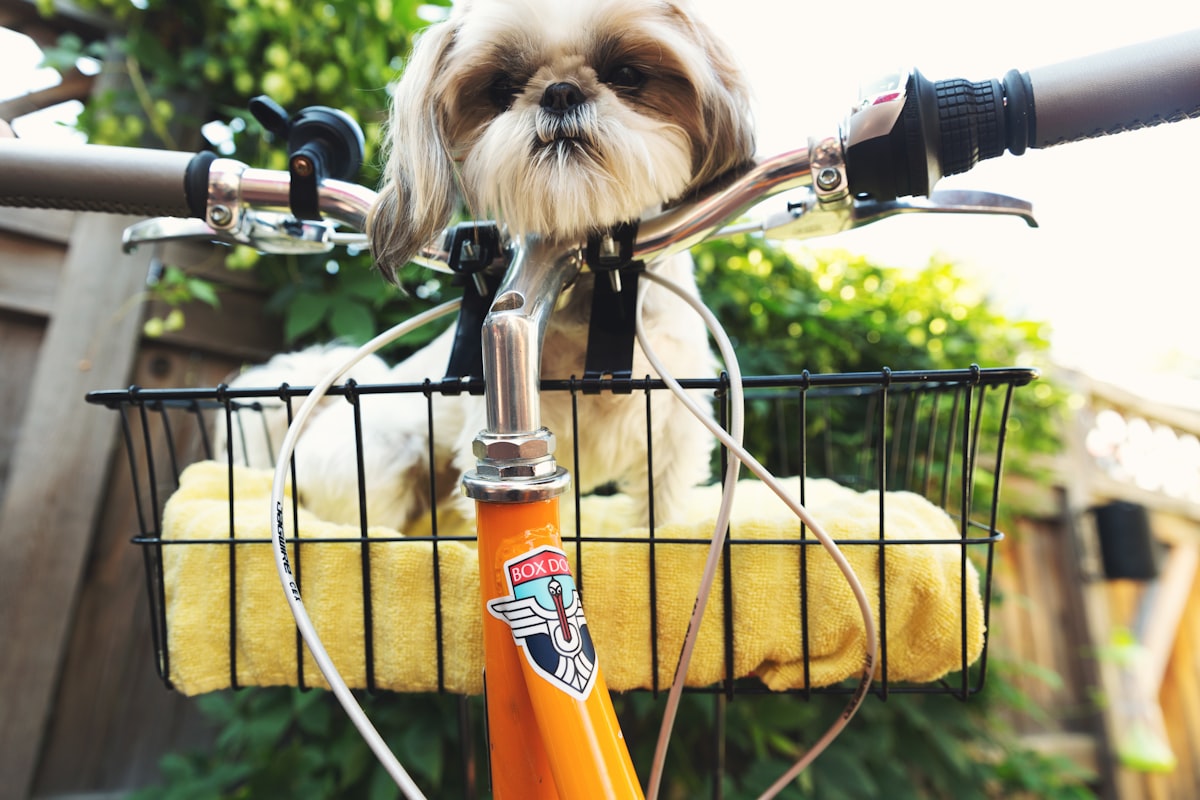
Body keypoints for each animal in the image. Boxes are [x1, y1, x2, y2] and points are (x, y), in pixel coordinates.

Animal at [220, 0, 753, 532]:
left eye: (626, 74)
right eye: (501, 88)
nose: (560, 92)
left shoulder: (673, 437)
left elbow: (661, 519)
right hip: (380, 464)